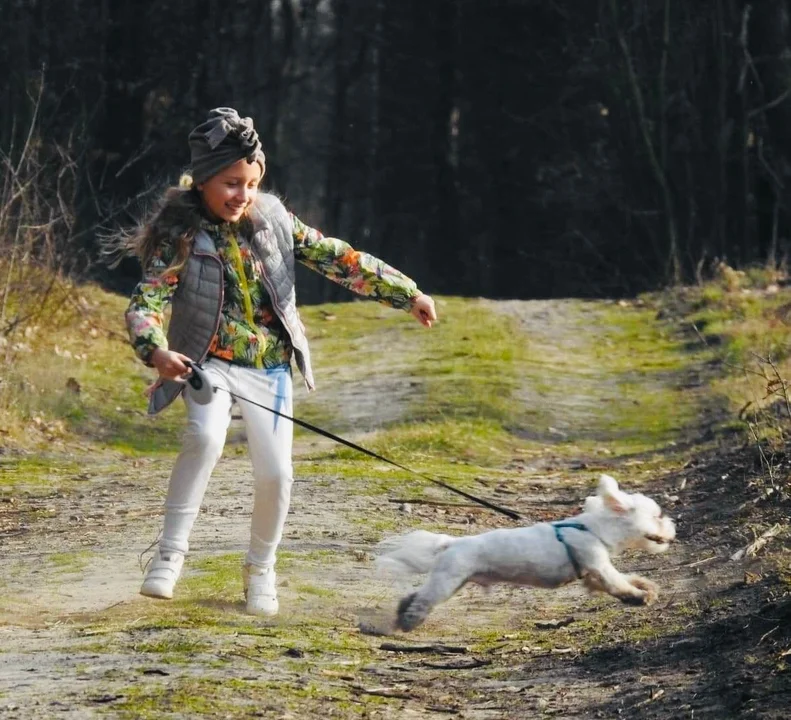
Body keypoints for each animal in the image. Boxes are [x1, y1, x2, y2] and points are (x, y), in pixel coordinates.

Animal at [378, 476, 676, 632]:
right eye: (657, 516)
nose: (673, 526)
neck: (594, 529)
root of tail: (451, 542)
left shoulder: (594, 573)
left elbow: (627, 578)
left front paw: (646, 587)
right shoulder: (598, 567)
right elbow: (619, 584)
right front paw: (639, 596)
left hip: (453, 581)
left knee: (416, 596)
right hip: (447, 581)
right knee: (422, 601)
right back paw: (408, 621)